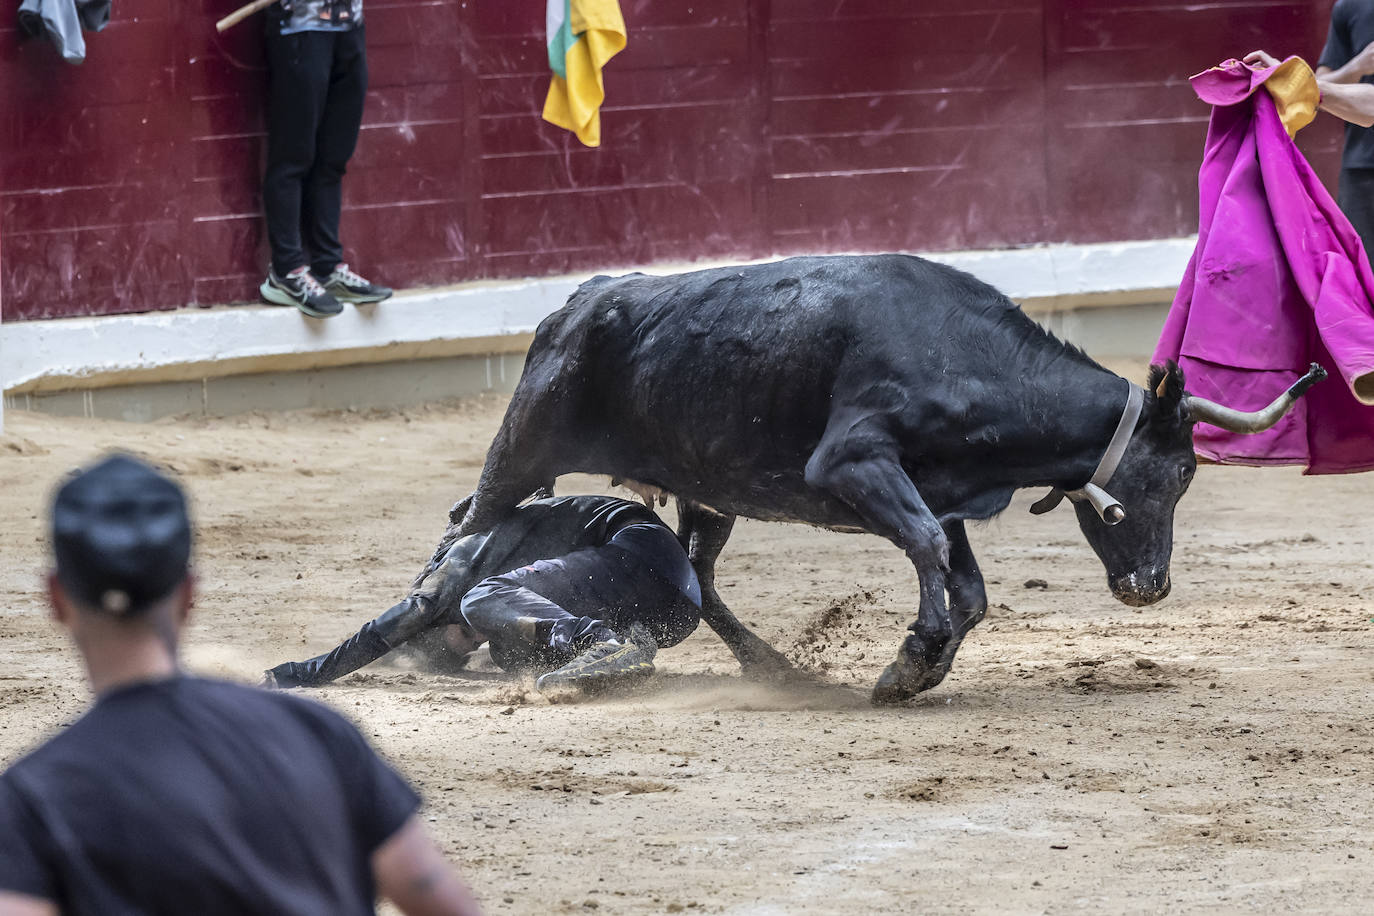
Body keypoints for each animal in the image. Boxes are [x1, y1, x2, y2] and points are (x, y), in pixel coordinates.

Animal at [434, 252, 1324, 703]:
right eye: (1179, 471)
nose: (1151, 586)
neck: (963, 354)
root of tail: (577, 300)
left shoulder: (947, 492)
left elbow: (969, 588)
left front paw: (915, 671)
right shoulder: (854, 463)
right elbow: (928, 549)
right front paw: (913, 655)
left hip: (709, 490)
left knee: (700, 577)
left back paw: (775, 667)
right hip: (525, 443)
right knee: (468, 525)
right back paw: (442, 643)